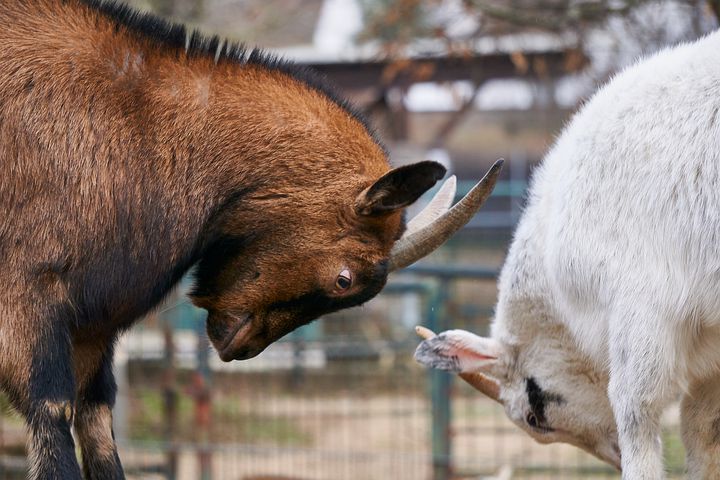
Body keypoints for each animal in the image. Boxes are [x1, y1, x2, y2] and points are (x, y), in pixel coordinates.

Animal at [0, 1, 501, 478]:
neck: (146, 123)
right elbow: (53, 414)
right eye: (344, 279)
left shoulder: (93, 326)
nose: (239, 348)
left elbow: (99, 428)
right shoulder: (26, 298)